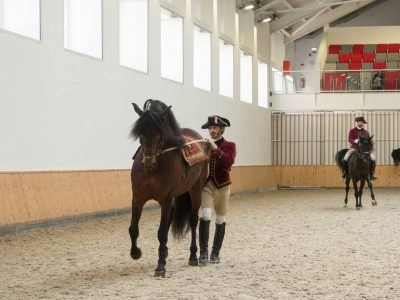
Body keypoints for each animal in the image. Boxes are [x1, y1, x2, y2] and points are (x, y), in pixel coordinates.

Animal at [129, 99, 211, 278]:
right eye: (140, 132)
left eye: (160, 133)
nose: (148, 161)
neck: (153, 168)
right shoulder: (138, 198)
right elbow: (133, 229)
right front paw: (136, 253)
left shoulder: (166, 199)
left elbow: (161, 233)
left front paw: (160, 266)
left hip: (195, 191)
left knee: (193, 221)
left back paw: (193, 256)